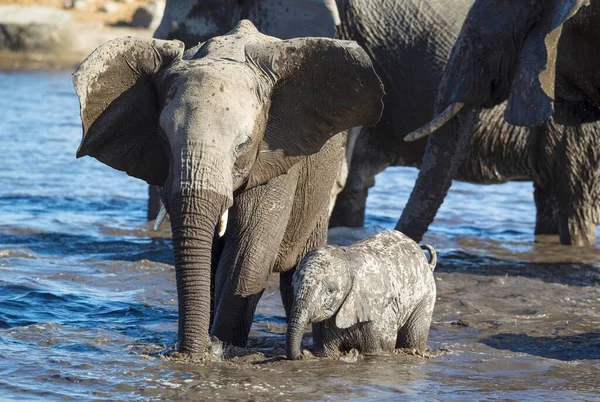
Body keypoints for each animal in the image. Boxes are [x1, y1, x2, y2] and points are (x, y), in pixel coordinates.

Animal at [74, 22, 384, 354]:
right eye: (163, 139)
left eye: (242, 144)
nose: (190, 350)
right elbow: (209, 259)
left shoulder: (277, 158)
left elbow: (247, 255)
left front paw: (221, 348)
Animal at [286, 228, 436, 360]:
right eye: (293, 285)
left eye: (330, 291)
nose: (302, 354)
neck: (348, 260)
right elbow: (326, 354)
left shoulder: (377, 313)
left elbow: (378, 352)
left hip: (426, 294)